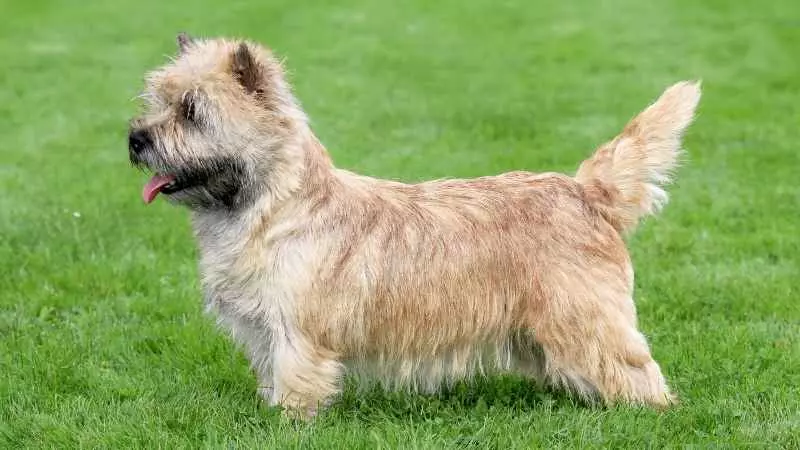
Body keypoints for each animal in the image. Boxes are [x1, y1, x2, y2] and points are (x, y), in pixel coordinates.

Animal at [128, 32, 696, 418]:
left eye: (192, 111)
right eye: (156, 102)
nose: (136, 138)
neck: (271, 208)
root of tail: (584, 191)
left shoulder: (298, 330)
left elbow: (296, 383)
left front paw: (287, 426)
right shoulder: (264, 329)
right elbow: (271, 377)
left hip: (585, 317)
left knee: (636, 370)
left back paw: (650, 416)